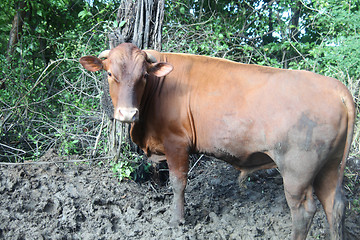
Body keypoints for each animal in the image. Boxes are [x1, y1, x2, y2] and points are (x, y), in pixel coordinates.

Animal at [81, 43, 354, 240]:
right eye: (109, 73)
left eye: (143, 76)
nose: (128, 114)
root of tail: (337, 88)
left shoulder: (176, 143)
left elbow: (178, 183)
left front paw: (176, 220)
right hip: (329, 165)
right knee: (335, 205)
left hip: (298, 170)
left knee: (303, 211)